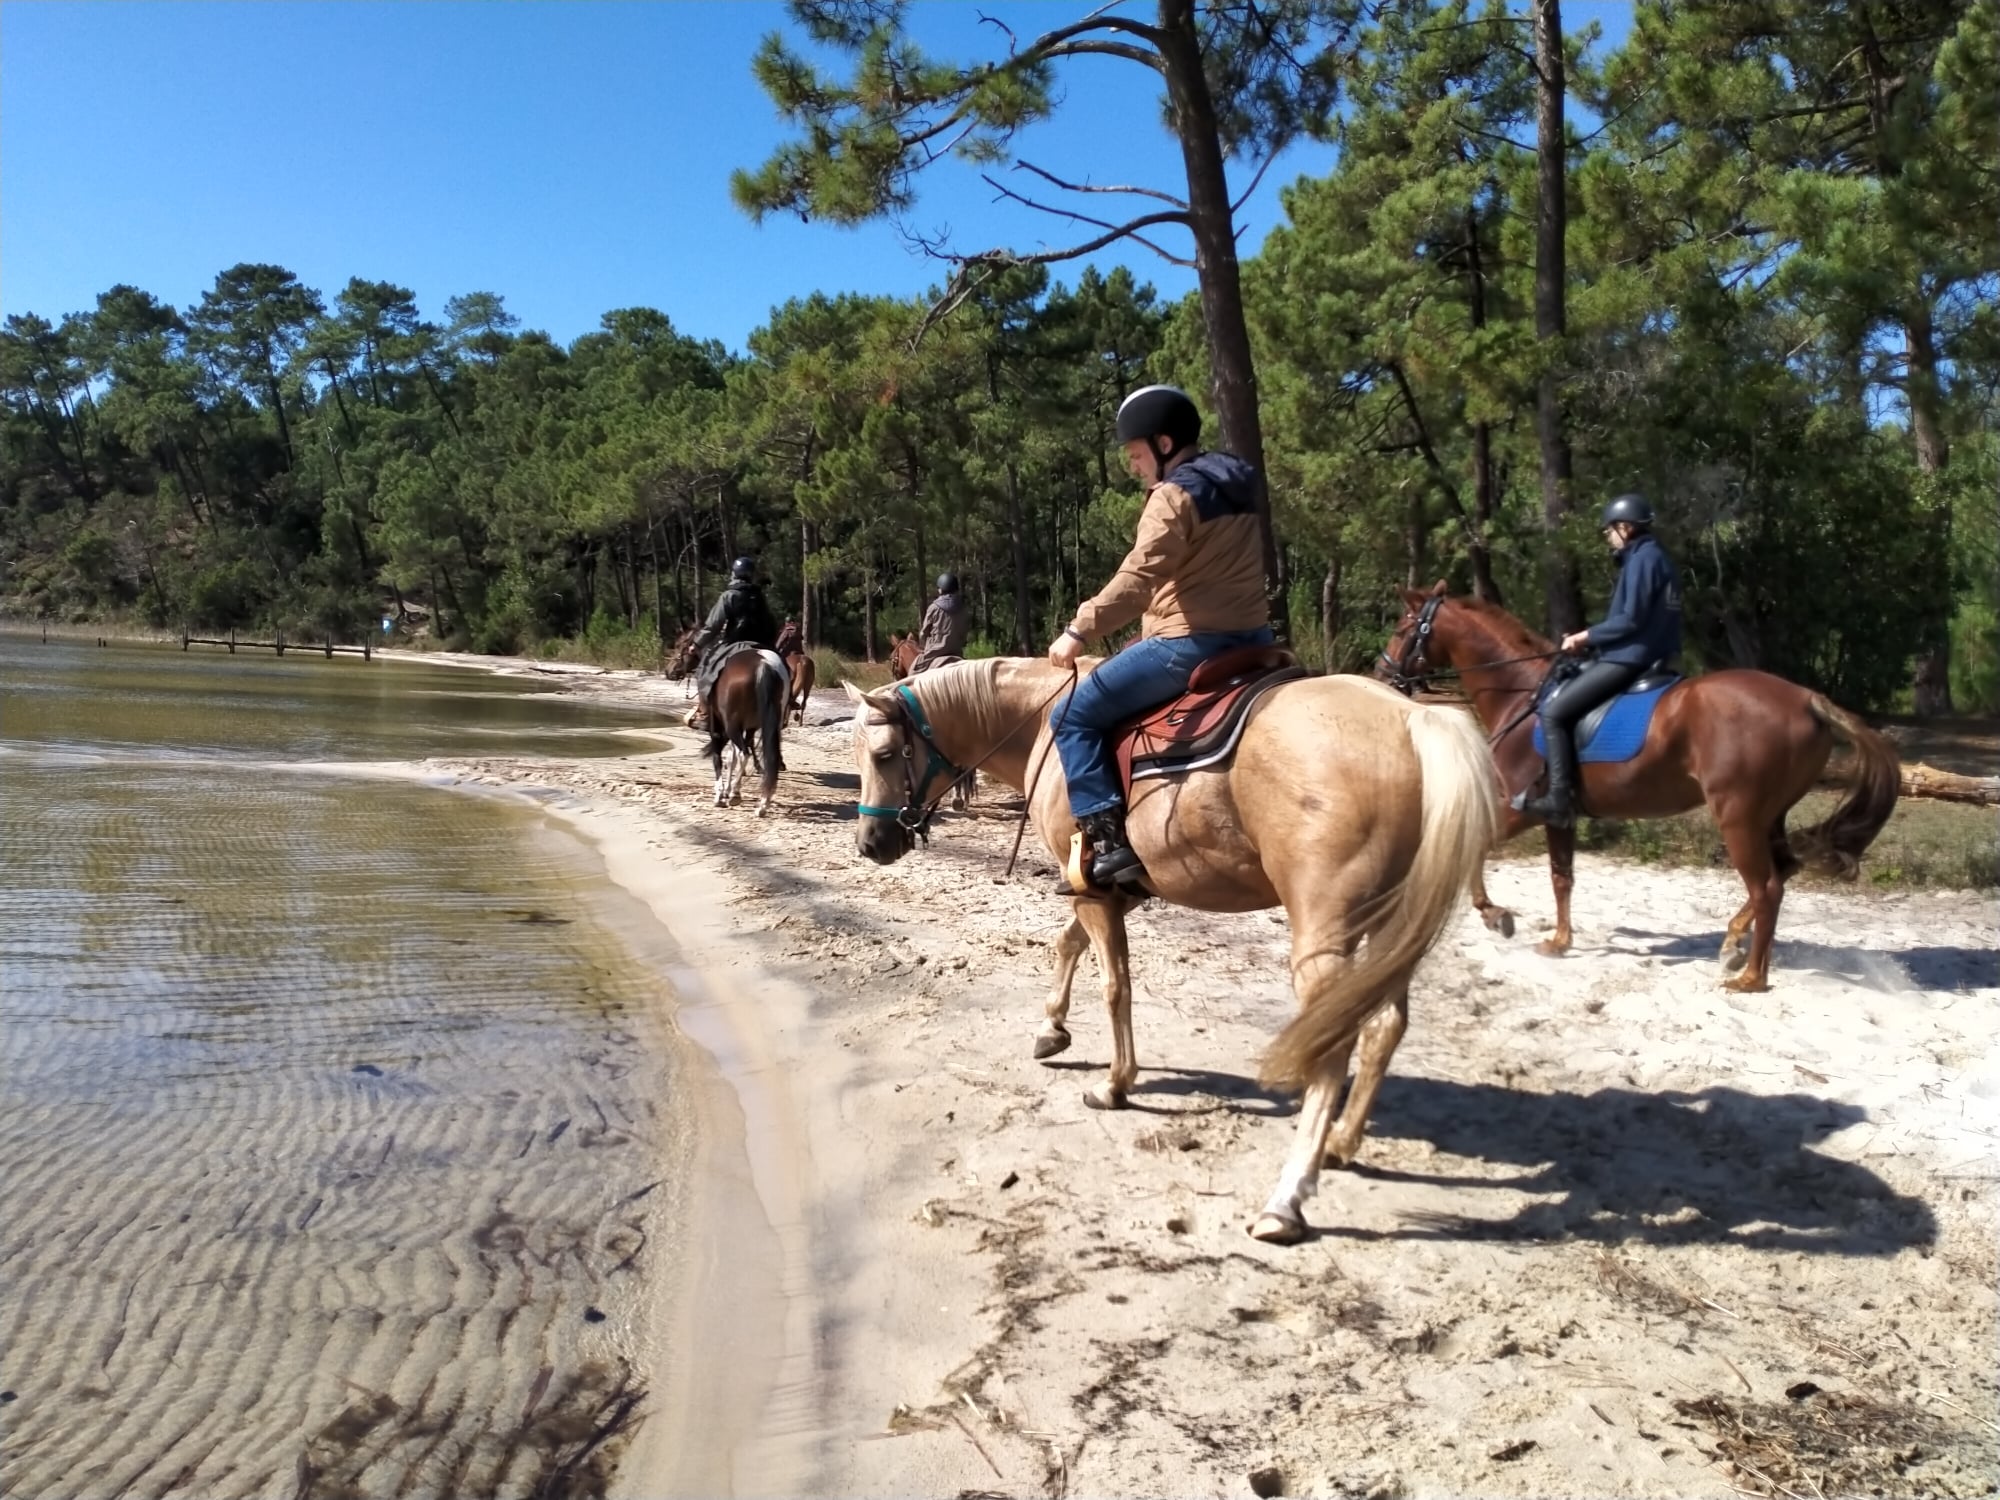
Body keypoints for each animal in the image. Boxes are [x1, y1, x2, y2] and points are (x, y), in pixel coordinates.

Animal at [844, 660, 1504, 1248]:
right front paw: (1051, 1029)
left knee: (1334, 1044)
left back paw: (1287, 1200)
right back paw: (1341, 1143)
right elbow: (1068, 943)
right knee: (1385, 1025)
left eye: (886, 756)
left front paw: (1116, 1083)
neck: (1044, 724)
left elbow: (1115, 983)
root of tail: (1410, 719)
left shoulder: (1094, 890)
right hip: (1389, 924)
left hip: (1327, 932)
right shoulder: (1112, 888)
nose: (871, 843)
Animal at [1384, 588, 1896, 1000]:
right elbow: (1562, 877)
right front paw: (1559, 941)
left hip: (1738, 818)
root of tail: (1806, 699)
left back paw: (1750, 977)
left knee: (1767, 886)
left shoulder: (1522, 808)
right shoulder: (1558, 814)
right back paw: (1732, 943)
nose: (1381, 672)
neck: (1524, 696)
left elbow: (1478, 845)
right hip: (1770, 816)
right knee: (1783, 871)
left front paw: (1495, 915)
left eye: (1403, 627)